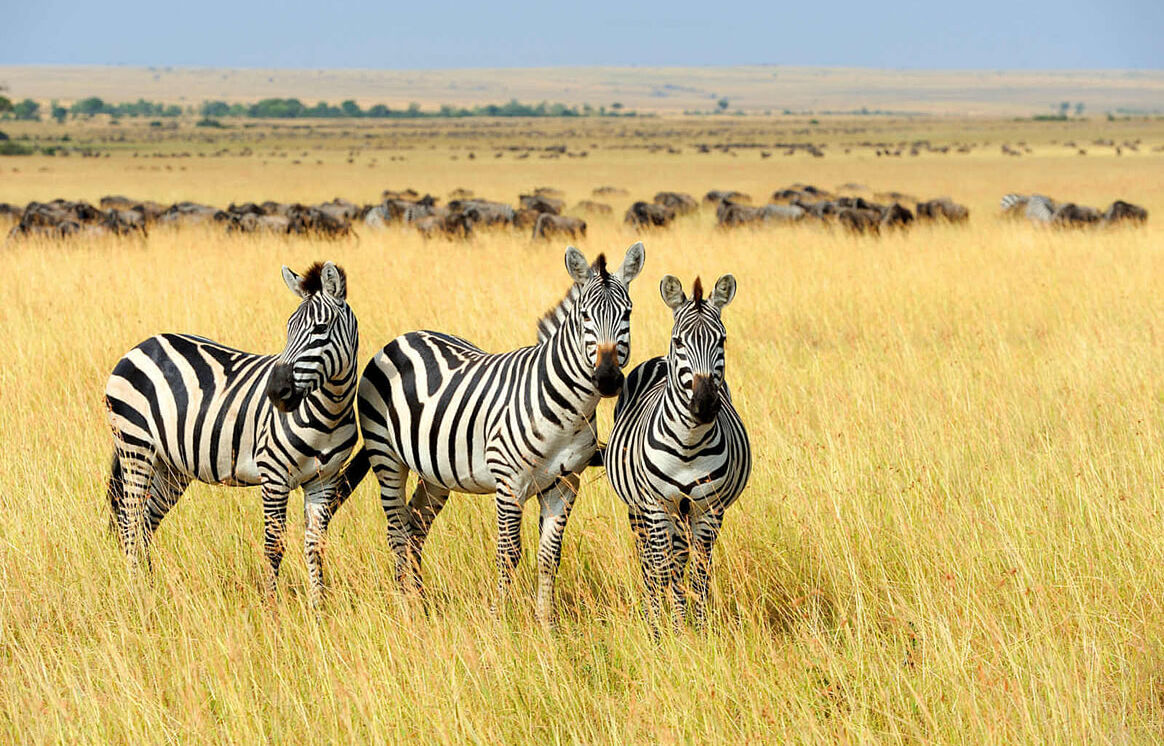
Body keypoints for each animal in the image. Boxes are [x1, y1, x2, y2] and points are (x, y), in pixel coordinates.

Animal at [104, 261, 359, 605]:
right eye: (288, 327)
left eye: (321, 328)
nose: (276, 392)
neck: (329, 413)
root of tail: (143, 344)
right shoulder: (274, 476)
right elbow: (273, 547)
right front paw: (271, 607)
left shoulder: (324, 480)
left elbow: (315, 547)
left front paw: (318, 608)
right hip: (136, 448)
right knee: (130, 522)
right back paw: (136, 594)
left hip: (170, 467)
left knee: (145, 523)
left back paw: (150, 589)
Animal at [333, 242, 644, 625]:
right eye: (584, 316)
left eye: (627, 313)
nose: (608, 379)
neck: (568, 409)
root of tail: (403, 337)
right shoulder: (509, 483)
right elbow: (508, 554)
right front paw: (499, 620)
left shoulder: (565, 484)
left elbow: (550, 557)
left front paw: (546, 624)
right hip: (387, 457)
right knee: (397, 531)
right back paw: (406, 606)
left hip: (434, 472)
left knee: (415, 527)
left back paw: (419, 602)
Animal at [604, 274, 751, 632]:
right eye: (679, 341)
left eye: (722, 340)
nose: (705, 405)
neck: (689, 443)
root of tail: (659, 358)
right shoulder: (656, 505)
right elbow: (661, 569)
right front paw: (660, 631)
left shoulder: (709, 509)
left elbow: (698, 573)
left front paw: (696, 628)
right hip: (639, 509)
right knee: (649, 560)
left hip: (684, 513)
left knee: (681, 559)